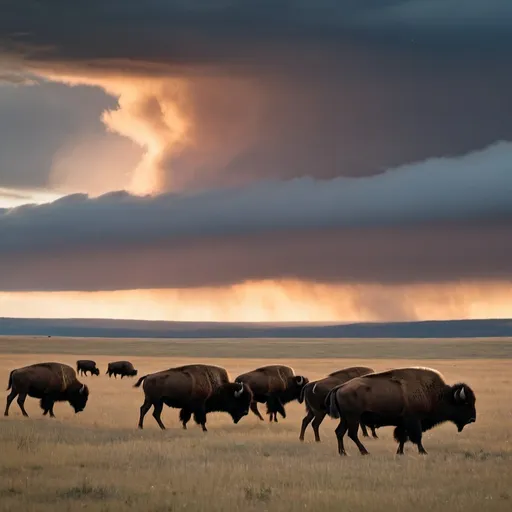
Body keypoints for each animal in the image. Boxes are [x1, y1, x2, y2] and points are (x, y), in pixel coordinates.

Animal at [326, 364, 478, 456]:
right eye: (466, 403)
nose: (473, 419)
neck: (434, 394)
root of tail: (340, 387)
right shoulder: (414, 421)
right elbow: (416, 437)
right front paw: (423, 452)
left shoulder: (404, 423)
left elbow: (402, 437)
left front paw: (400, 452)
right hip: (353, 418)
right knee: (351, 434)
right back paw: (364, 452)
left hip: (346, 419)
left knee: (340, 432)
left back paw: (343, 453)